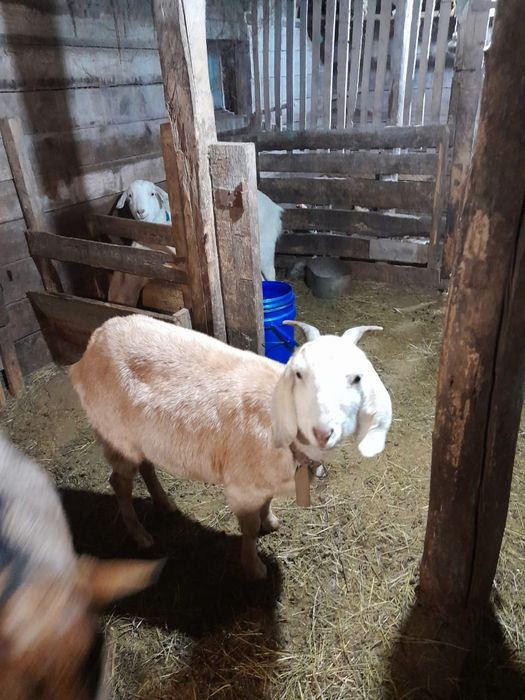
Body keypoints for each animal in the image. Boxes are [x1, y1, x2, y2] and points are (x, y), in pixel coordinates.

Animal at [69, 316, 392, 580]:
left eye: (357, 377)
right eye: (299, 374)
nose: (323, 432)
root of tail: (93, 342)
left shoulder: (262, 481)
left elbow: (267, 503)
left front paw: (270, 522)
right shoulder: (242, 484)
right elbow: (248, 529)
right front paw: (254, 568)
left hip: (140, 438)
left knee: (145, 465)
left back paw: (164, 502)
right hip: (114, 434)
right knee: (119, 483)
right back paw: (140, 535)